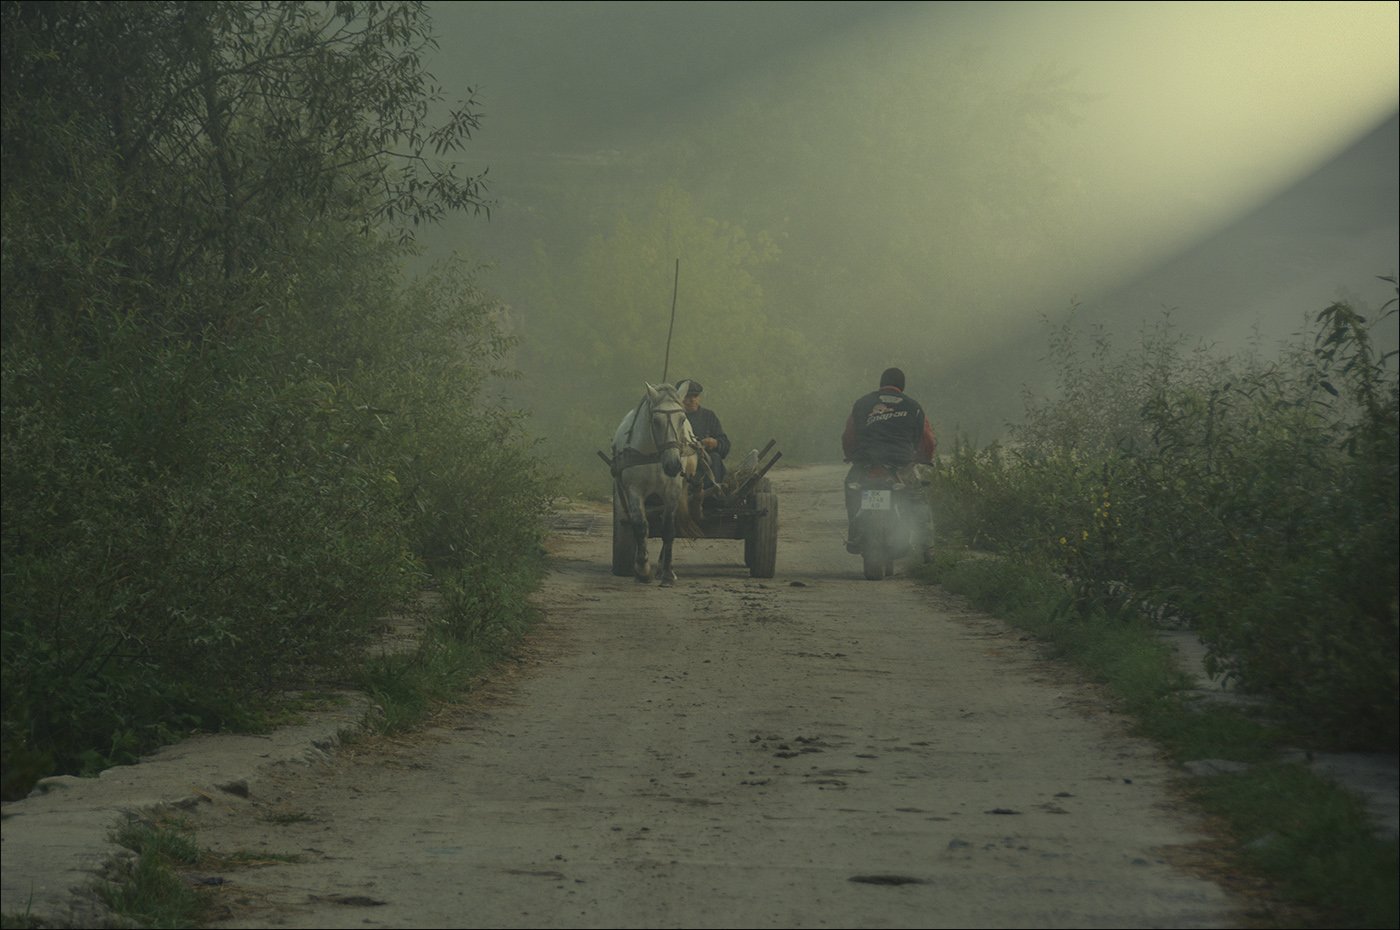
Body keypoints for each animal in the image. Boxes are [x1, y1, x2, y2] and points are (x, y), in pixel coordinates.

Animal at [610, 382, 699, 584]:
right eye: (656, 421)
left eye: (682, 419)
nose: (673, 465)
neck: (653, 455)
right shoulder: (634, 490)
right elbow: (640, 526)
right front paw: (642, 569)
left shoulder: (673, 491)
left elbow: (668, 528)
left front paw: (667, 572)